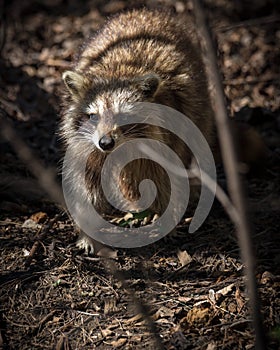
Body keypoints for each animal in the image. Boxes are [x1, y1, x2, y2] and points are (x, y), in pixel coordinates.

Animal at [60, 7, 215, 254]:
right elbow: (86, 183)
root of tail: (146, 11)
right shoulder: (86, 145)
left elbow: (165, 177)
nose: (106, 143)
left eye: (122, 116)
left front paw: (166, 220)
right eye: (93, 116)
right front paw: (87, 230)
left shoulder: (167, 137)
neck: (116, 73)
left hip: (198, 108)